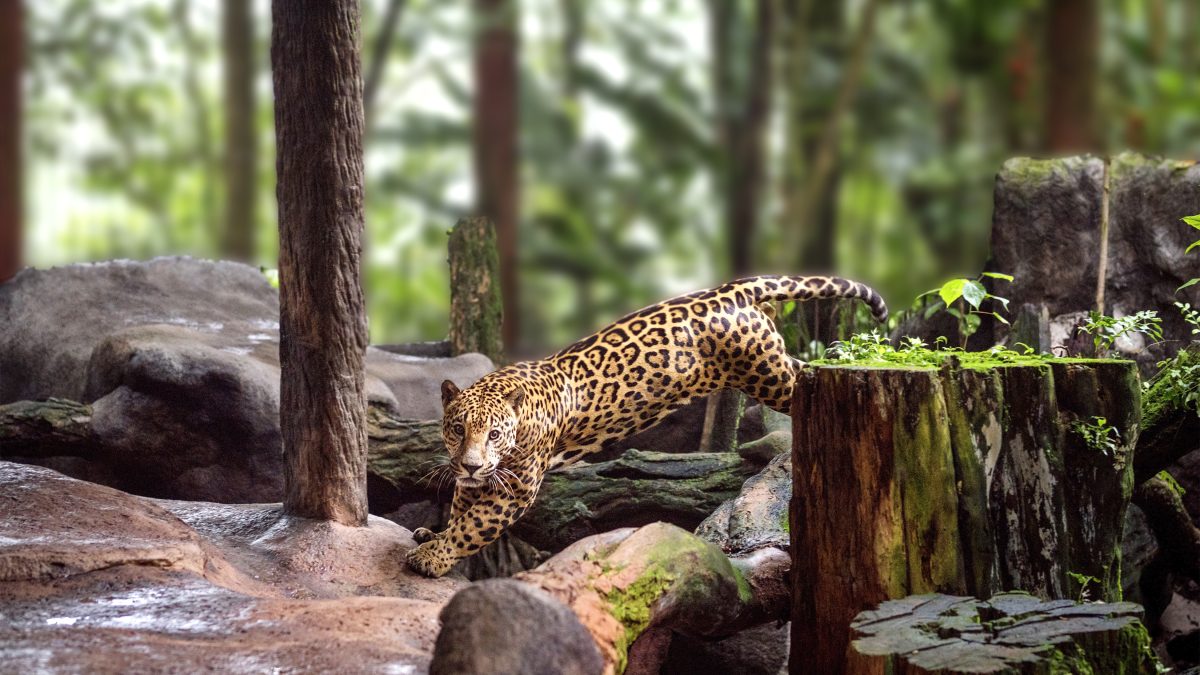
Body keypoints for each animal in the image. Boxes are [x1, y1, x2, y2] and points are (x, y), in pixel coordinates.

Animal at [405, 274, 887, 577]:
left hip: (769, 376)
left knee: (804, 379)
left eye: (494, 434)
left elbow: (473, 527)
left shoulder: (514, 489)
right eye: (457, 429)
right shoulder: (478, 481)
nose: (470, 463)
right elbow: (461, 513)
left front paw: (433, 557)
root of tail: (730, 289)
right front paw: (435, 536)